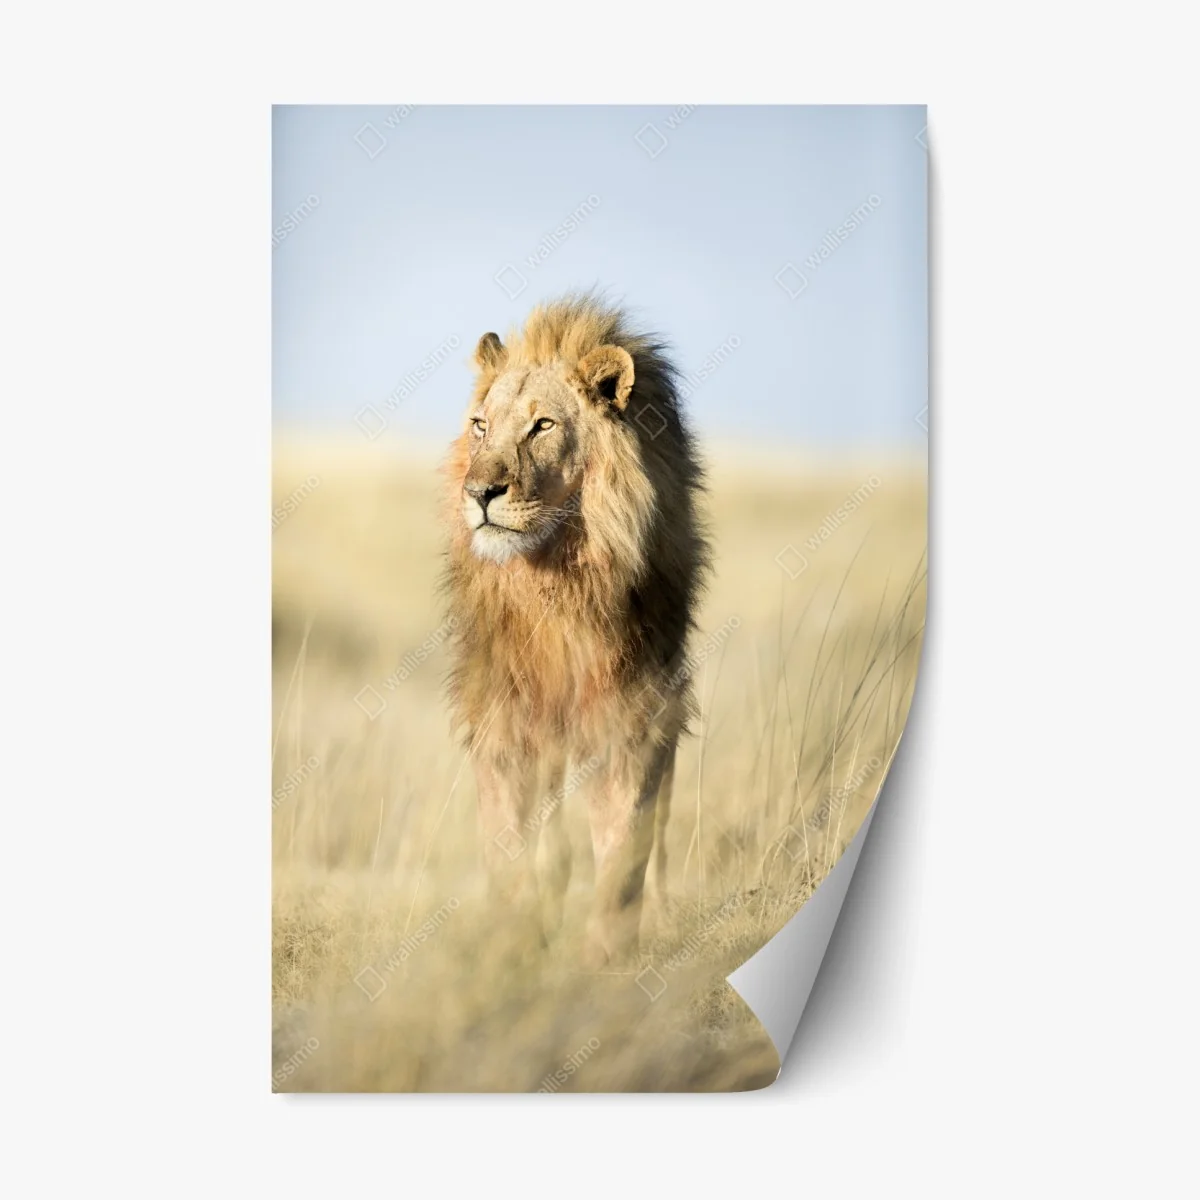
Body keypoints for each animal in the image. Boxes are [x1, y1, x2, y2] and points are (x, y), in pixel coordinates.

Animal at [442, 295, 709, 967]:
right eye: (480, 425)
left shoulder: (636, 713)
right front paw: (513, 948)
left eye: (542, 426)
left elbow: (624, 847)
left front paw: (606, 960)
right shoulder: (504, 717)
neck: (556, 581)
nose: (480, 492)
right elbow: (512, 844)